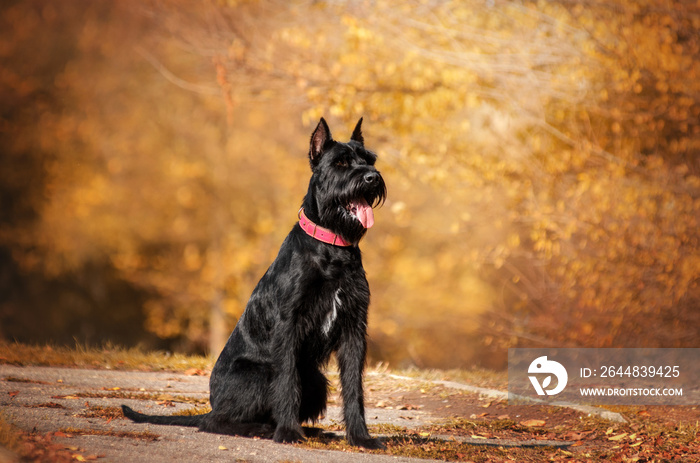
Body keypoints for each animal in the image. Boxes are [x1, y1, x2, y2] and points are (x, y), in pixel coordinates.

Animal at [124, 118, 388, 450]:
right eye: (340, 162)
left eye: (369, 159)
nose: (372, 177)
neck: (332, 246)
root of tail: (213, 403)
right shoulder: (289, 325)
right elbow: (286, 382)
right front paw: (288, 433)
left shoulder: (354, 327)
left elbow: (354, 386)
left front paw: (361, 437)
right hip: (260, 374)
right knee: (217, 422)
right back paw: (266, 429)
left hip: (314, 379)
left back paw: (314, 431)